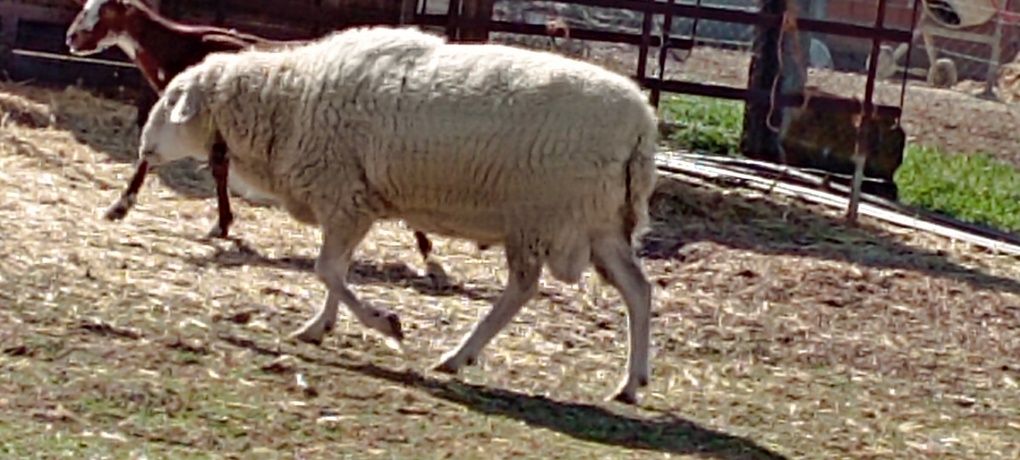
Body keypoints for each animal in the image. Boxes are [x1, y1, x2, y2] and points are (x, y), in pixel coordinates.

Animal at [135, 27, 656, 405]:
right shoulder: (350, 202)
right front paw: (320, 327)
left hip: (542, 215)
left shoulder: (342, 195)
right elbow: (335, 271)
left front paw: (385, 322)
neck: (286, 101)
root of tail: (644, 123)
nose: (144, 148)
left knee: (523, 290)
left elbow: (327, 270)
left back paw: (458, 356)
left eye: (171, 100)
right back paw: (630, 383)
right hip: (600, 223)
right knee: (637, 290)